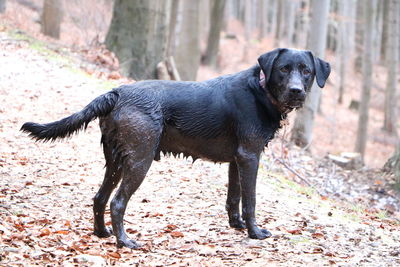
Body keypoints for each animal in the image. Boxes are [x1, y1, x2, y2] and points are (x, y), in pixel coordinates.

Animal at [20, 47, 330, 249]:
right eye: (283, 69)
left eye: (306, 71)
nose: (297, 91)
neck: (261, 90)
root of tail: (117, 92)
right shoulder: (250, 157)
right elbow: (250, 200)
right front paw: (254, 232)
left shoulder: (236, 160)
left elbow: (234, 198)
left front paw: (237, 226)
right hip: (139, 160)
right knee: (117, 202)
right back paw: (124, 241)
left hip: (116, 160)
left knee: (99, 198)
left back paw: (102, 233)